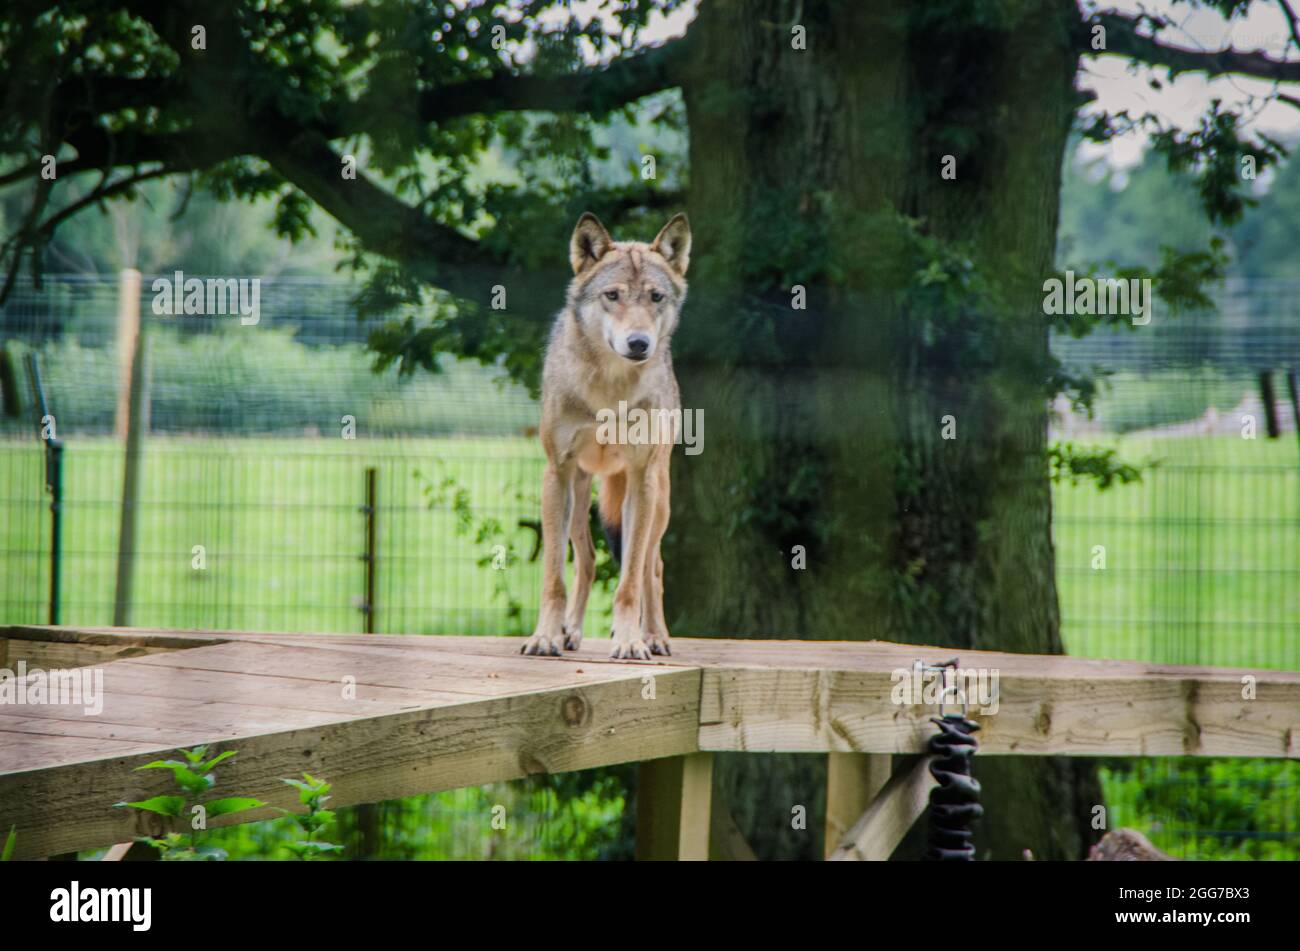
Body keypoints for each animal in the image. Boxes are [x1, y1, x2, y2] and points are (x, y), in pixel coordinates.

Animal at [520, 213, 691, 659]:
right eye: (612, 295)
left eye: (655, 297)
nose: (639, 343)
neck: (610, 390)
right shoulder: (556, 474)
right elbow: (554, 579)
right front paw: (545, 636)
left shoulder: (641, 480)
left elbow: (630, 582)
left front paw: (631, 641)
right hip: (580, 499)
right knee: (587, 560)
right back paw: (571, 633)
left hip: (657, 500)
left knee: (652, 566)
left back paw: (655, 637)